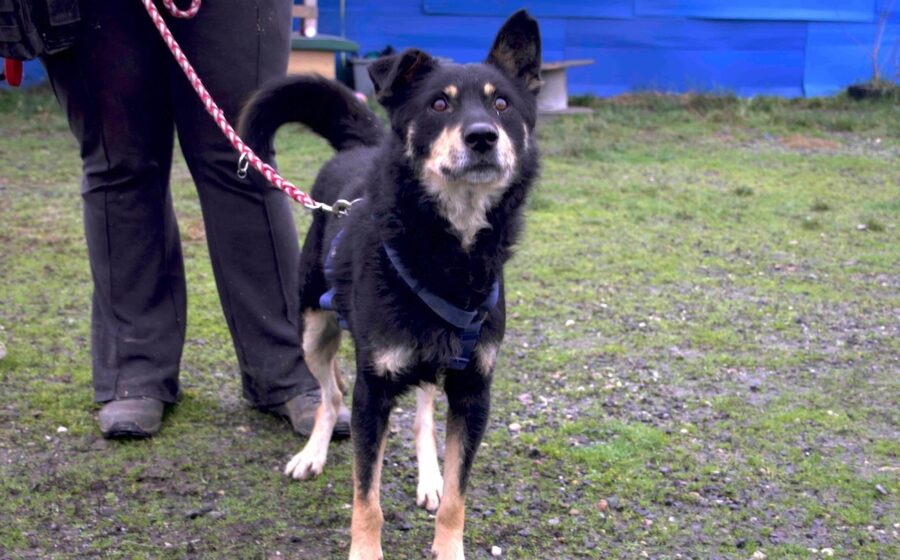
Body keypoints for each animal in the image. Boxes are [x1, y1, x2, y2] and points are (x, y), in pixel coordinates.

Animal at [240, 10, 541, 559]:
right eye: (439, 103)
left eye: (502, 104)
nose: (483, 136)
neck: (451, 253)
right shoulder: (374, 389)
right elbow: (367, 495)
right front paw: (365, 550)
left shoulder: (473, 390)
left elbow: (458, 497)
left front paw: (448, 540)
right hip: (313, 329)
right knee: (330, 394)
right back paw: (312, 453)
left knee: (421, 414)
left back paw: (429, 476)